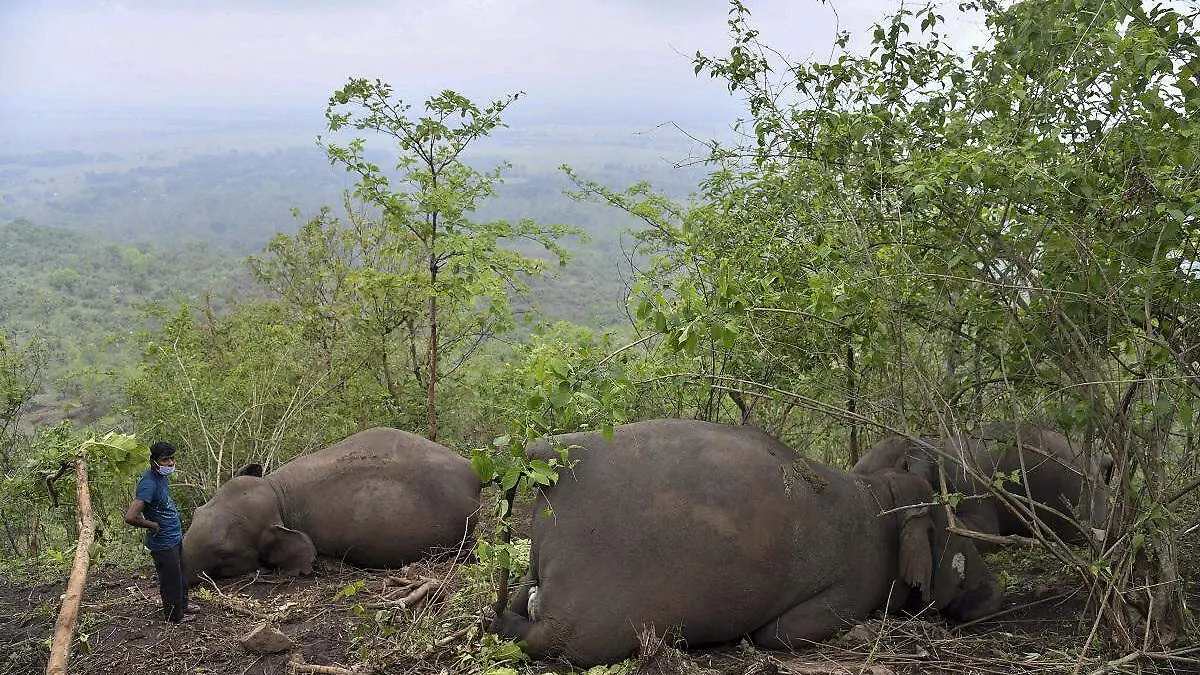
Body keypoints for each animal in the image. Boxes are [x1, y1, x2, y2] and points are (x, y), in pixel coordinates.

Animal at [487, 417, 1003, 662]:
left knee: (512, 615)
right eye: (957, 537)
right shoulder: (851, 588)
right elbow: (780, 633)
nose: (994, 592)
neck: (883, 498)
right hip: (589, 623)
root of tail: (546, 450)